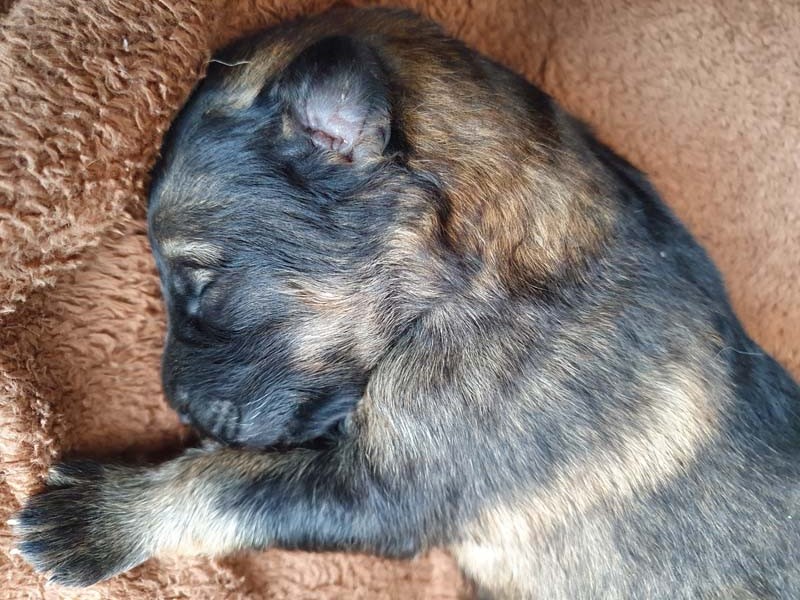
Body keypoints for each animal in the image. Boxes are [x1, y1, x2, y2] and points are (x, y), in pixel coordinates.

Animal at [13, 7, 800, 598]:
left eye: (199, 282)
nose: (178, 409)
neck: (471, 274)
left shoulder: (390, 488)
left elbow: (230, 482)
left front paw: (100, 518)